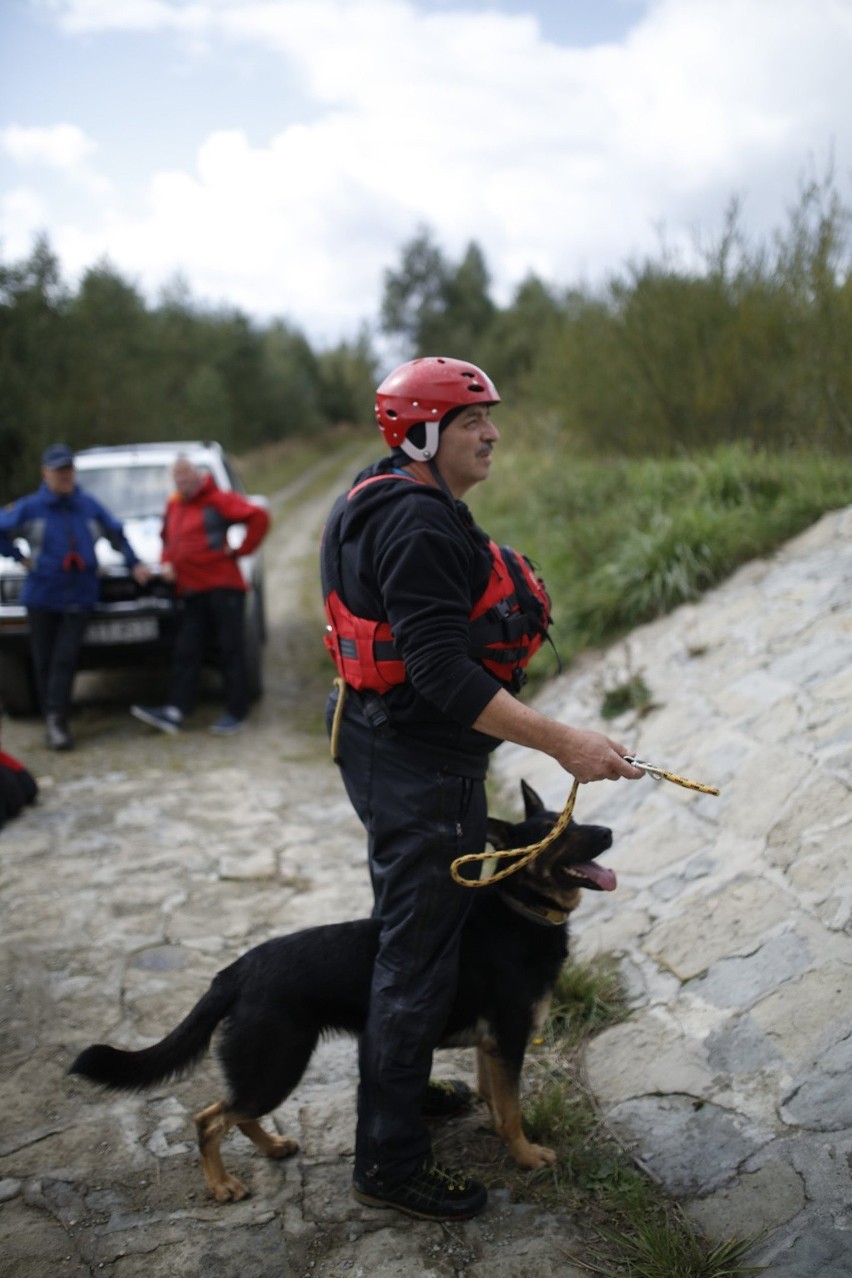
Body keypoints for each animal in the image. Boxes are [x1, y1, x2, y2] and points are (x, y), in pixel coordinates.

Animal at [68, 777, 613, 1206]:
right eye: (558, 835)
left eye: (578, 820)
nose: (609, 832)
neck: (521, 907)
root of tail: (236, 971)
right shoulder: (509, 1041)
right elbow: (513, 1111)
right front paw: (526, 1155)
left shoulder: (490, 1047)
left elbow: (496, 1102)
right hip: (277, 1066)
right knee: (209, 1119)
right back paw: (222, 1185)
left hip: (269, 1068)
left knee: (234, 1112)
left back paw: (271, 1147)